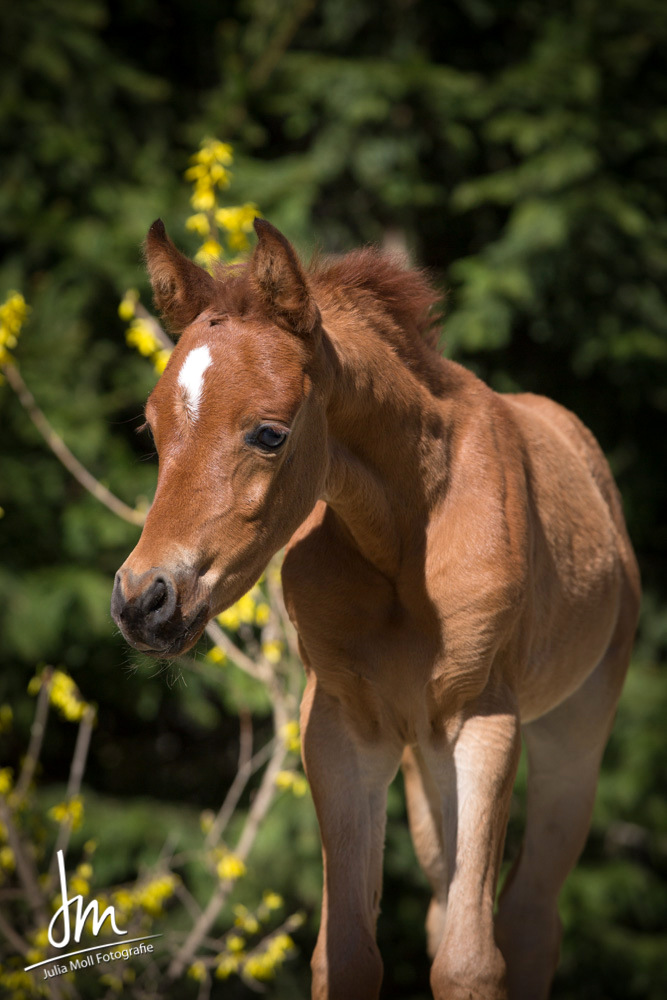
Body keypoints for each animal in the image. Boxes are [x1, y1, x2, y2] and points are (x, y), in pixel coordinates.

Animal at [111, 219, 640, 1000]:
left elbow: (471, 961)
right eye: (151, 430)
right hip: (422, 759)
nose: (144, 600)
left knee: (528, 922)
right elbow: (348, 955)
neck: (402, 542)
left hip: (572, 736)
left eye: (269, 433)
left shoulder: (485, 722)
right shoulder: (341, 727)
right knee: (448, 906)